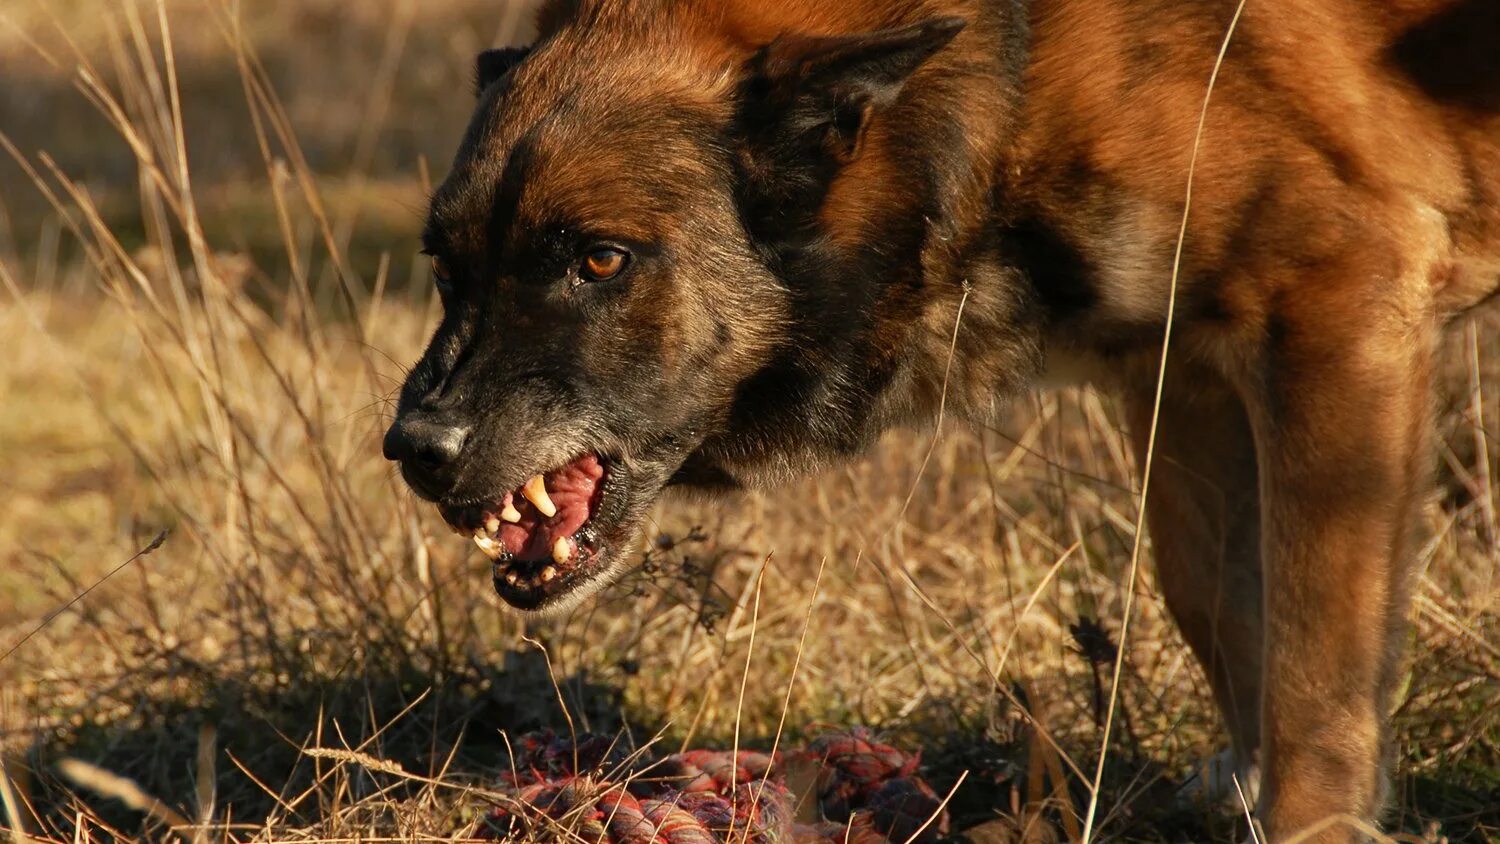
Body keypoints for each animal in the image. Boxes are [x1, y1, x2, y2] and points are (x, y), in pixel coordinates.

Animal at [387, 0, 1500, 839]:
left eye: (601, 258)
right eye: (445, 266)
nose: (414, 450)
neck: (1016, 76)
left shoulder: (1336, 314)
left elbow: (1313, 668)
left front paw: (1312, 818)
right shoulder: (1181, 373)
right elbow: (1216, 603)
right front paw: (1242, 785)